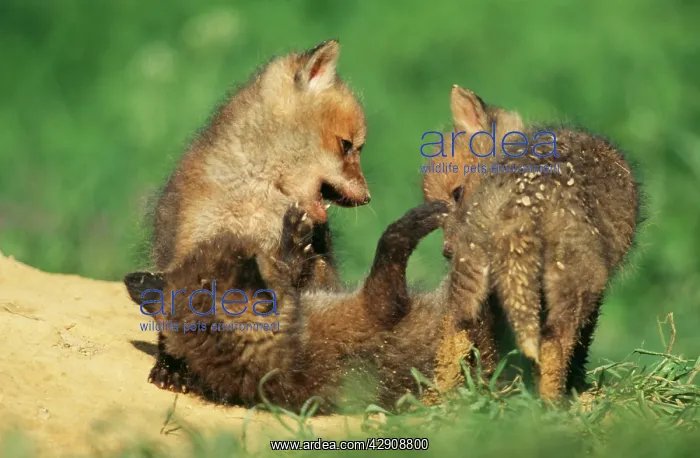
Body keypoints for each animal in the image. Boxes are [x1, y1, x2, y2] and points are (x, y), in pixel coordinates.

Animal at [423, 85, 641, 400]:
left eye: (457, 193)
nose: (447, 251)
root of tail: (519, 198)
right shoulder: (595, 290)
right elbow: (582, 346)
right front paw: (579, 388)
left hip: (469, 284)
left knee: (453, 335)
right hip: (575, 281)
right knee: (553, 343)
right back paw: (551, 404)